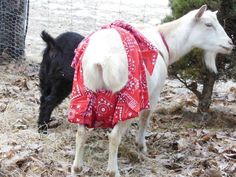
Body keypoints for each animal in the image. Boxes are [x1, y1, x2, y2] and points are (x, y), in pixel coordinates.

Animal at [71, 4, 233, 176]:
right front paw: (141, 146)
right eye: (208, 24)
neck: (165, 40)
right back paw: (112, 171)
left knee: (81, 133)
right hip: (126, 100)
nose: (230, 43)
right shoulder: (154, 93)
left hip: (83, 97)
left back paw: (77, 168)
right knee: (114, 136)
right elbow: (145, 117)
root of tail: (102, 60)